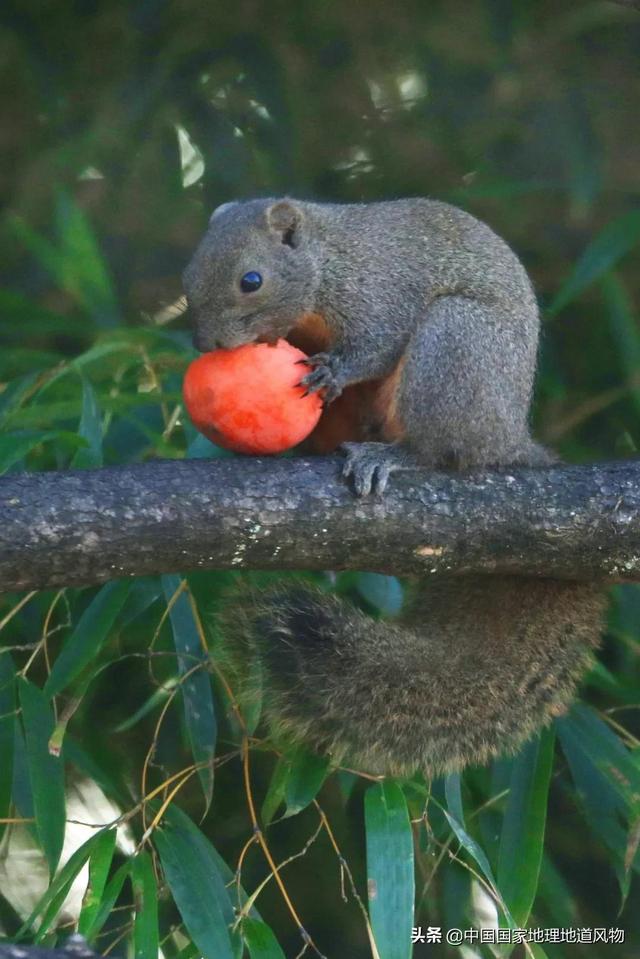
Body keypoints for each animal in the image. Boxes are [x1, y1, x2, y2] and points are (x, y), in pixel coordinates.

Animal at [182, 197, 608, 780]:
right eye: (191, 268)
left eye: (253, 280)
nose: (207, 344)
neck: (327, 263)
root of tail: (507, 438)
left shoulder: (379, 293)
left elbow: (377, 344)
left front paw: (334, 371)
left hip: (455, 347)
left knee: (437, 449)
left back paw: (391, 457)